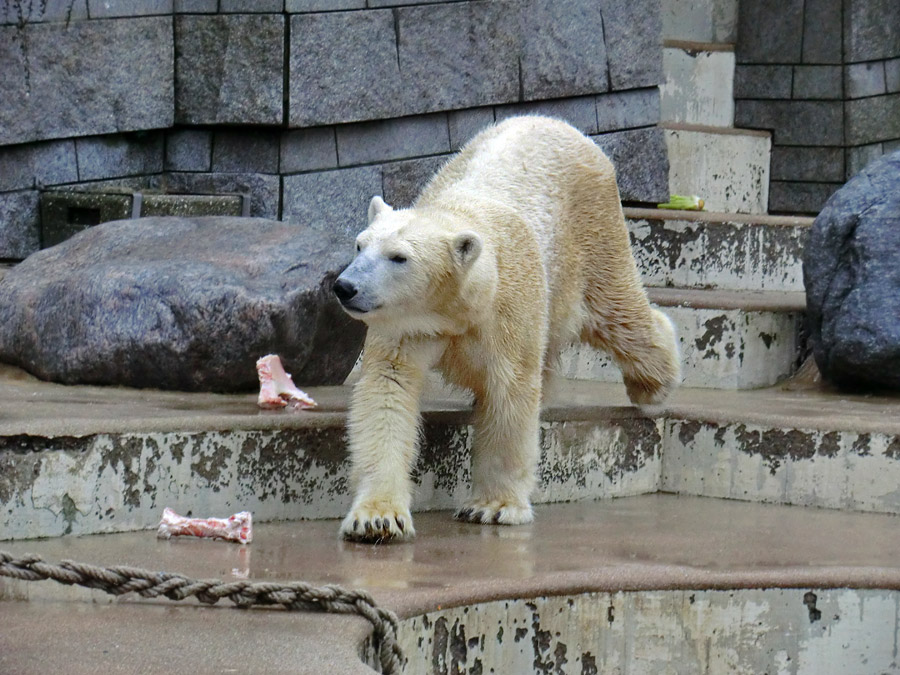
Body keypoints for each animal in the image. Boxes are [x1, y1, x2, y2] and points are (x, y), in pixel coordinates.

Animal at [334, 116, 680, 544]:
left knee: (619, 315)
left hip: (592, 233)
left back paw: (652, 384)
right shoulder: (403, 325)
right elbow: (387, 391)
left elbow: (509, 393)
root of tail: (560, 124)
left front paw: (493, 506)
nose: (345, 287)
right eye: (359, 245)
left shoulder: (508, 310)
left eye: (399, 257)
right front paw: (377, 519)